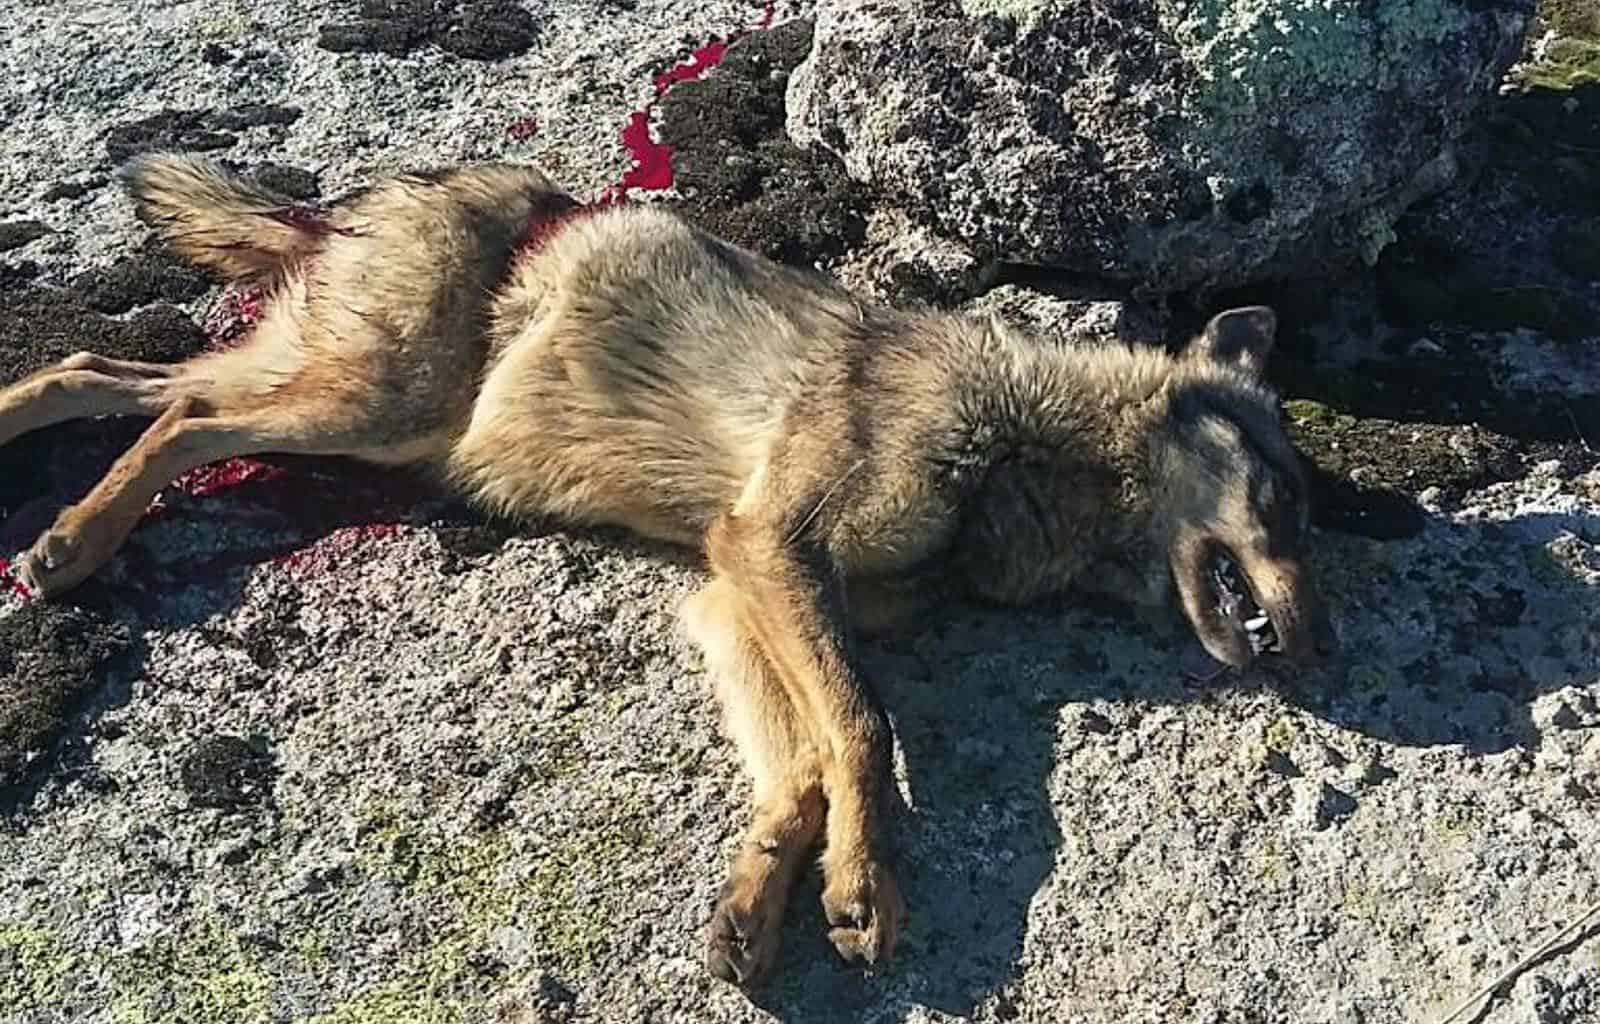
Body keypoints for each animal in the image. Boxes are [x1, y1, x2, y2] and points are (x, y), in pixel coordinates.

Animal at [0, 155, 1335, 987]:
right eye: (1283, 506)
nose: (1323, 648)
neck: (1021, 447)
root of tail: (346, 205)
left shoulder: (732, 593)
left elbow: (802, 763)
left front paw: (761, 900)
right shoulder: (772, 551)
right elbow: (863, 732)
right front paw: (866, 885)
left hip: (340, 398)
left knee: (105, 372)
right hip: (372, 410)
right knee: (181, 422)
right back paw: (71, 543)